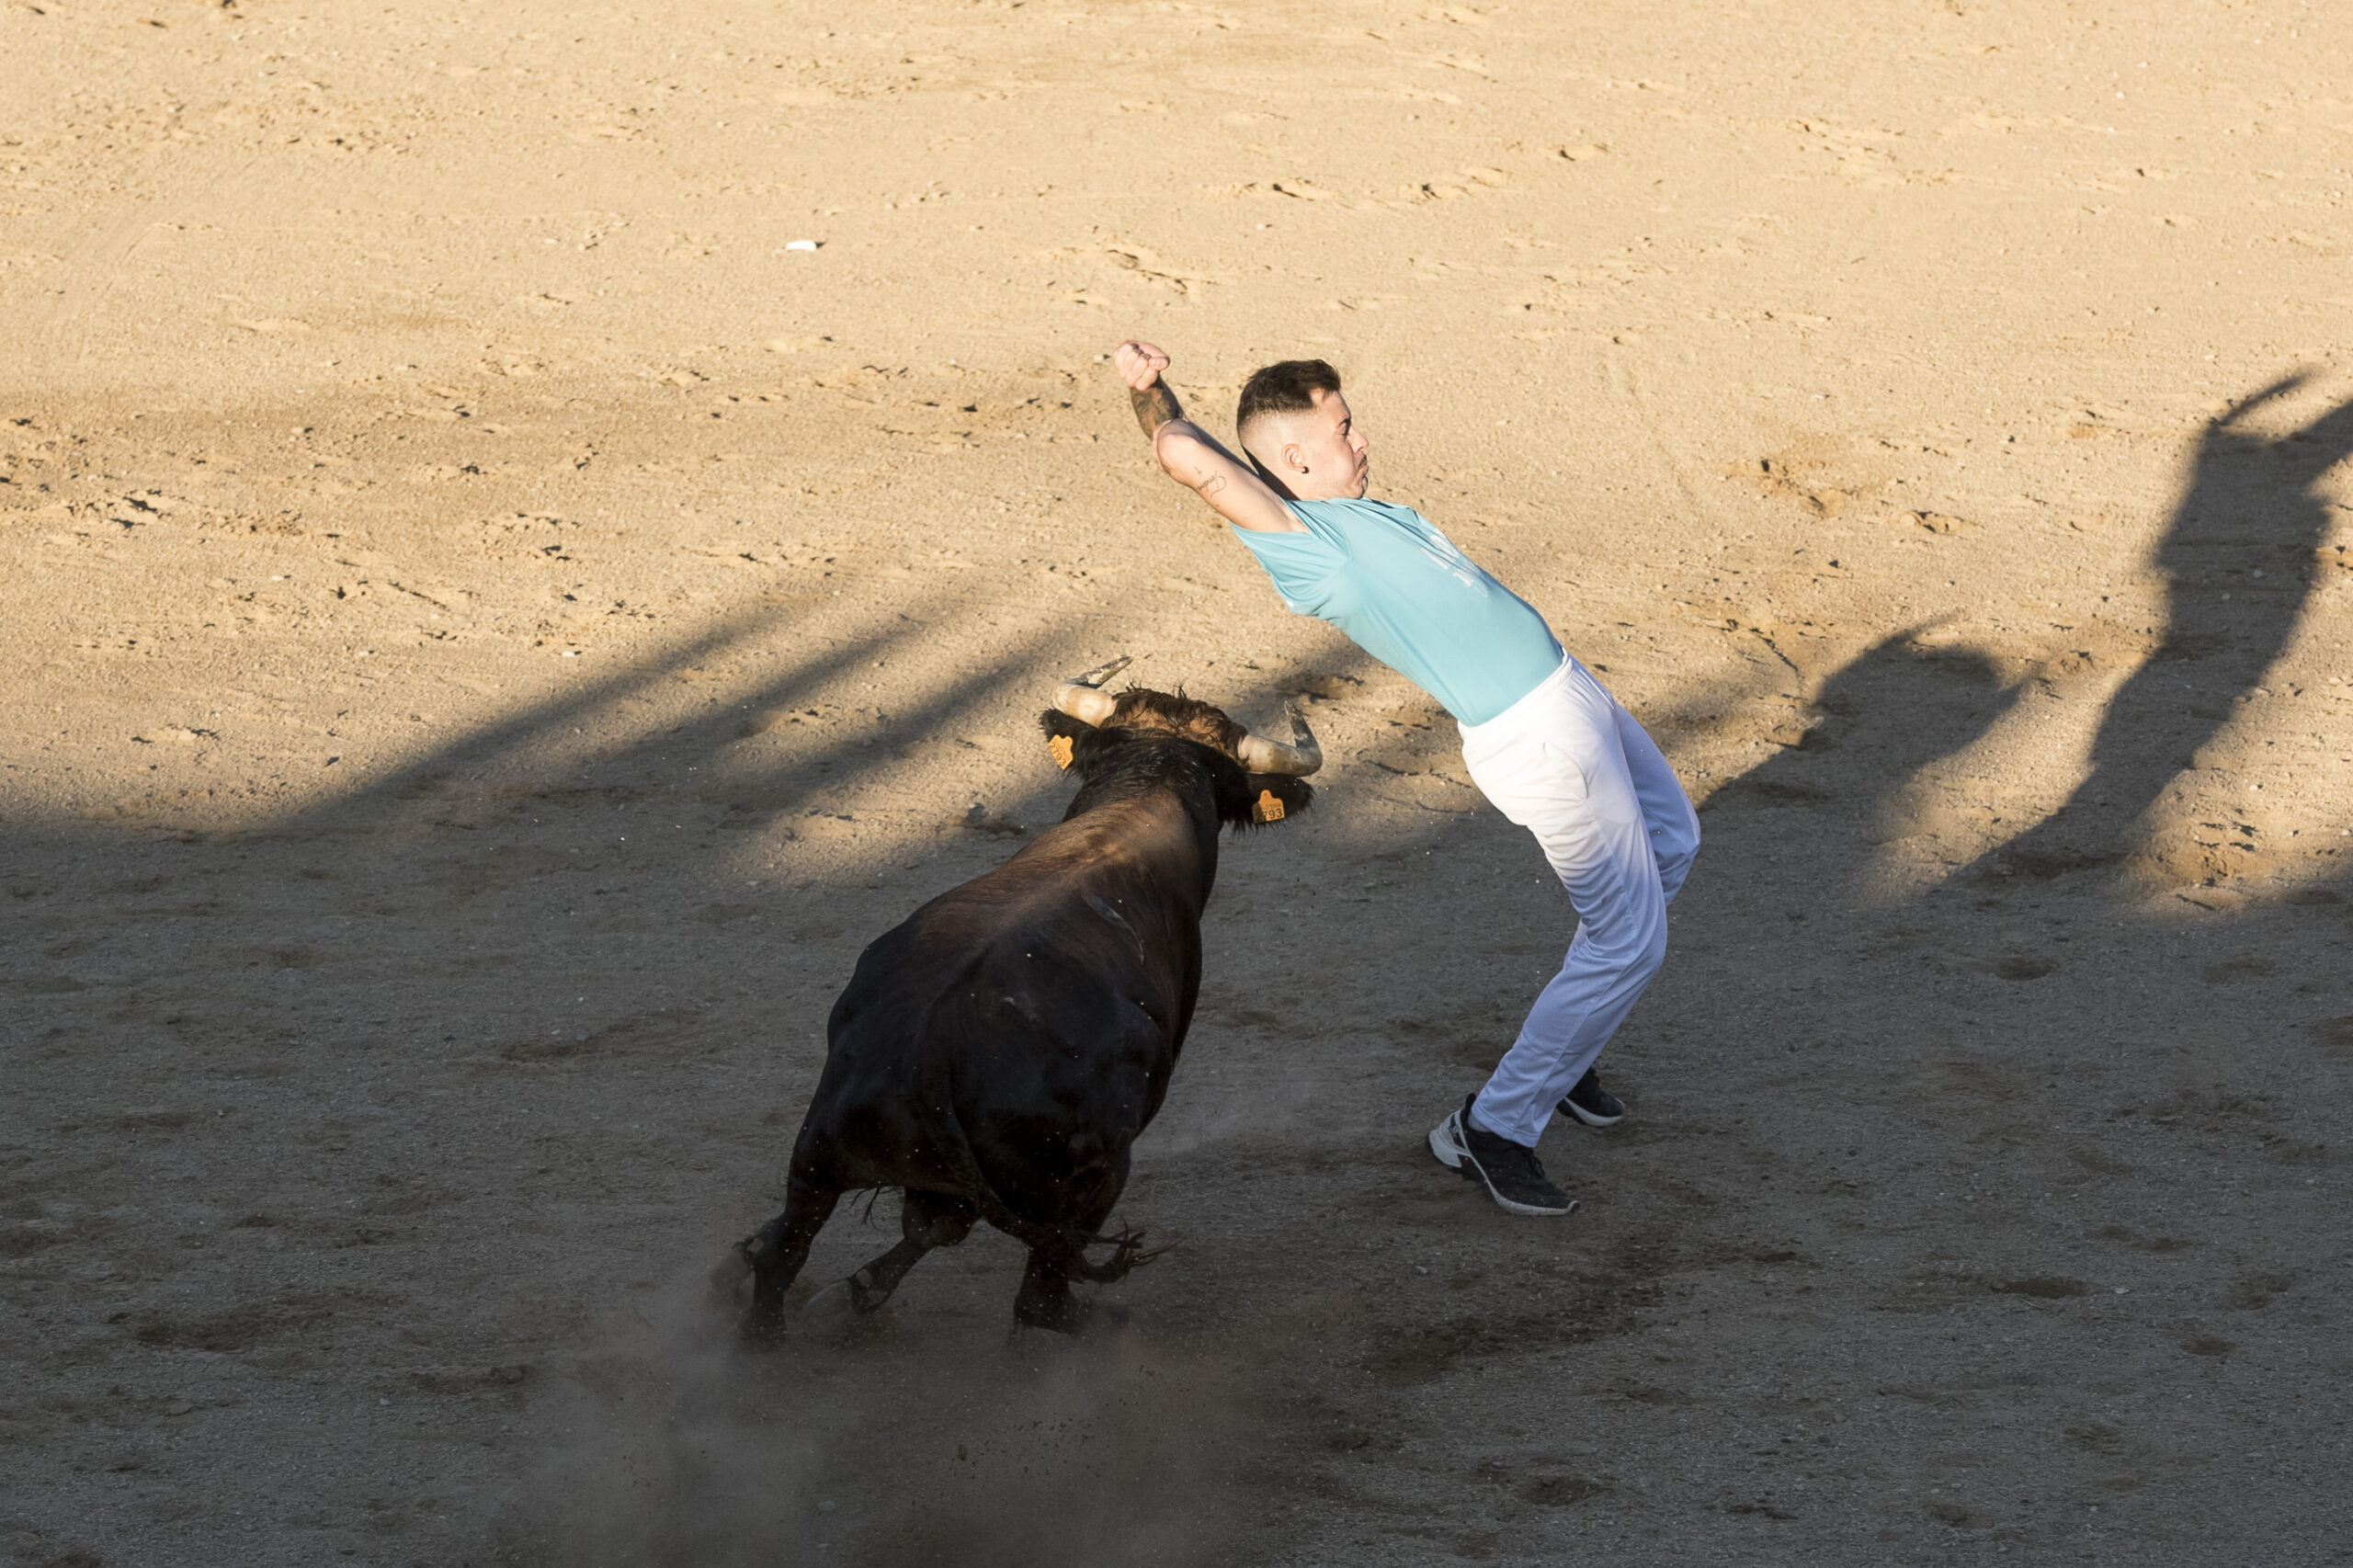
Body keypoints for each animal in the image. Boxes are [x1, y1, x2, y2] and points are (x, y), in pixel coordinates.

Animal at [733, 664, 1326, 1327]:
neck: (1143, 797)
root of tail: (932, 1049)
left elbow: (926, 1230)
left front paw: (853, 1284)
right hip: (1095, 1172)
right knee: (1038, 1293)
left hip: (819, 1153)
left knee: (791, 1253)